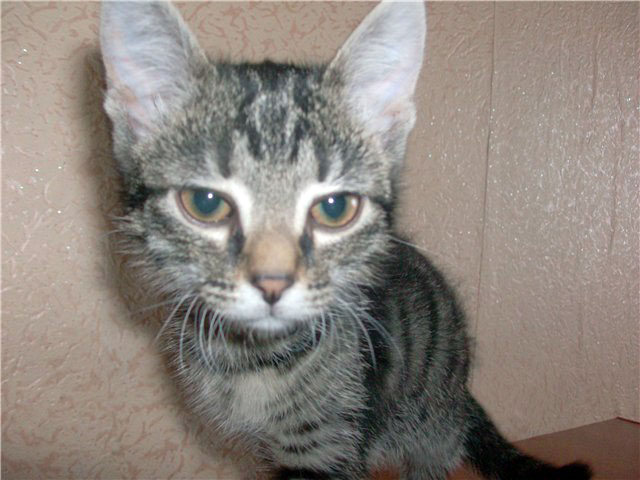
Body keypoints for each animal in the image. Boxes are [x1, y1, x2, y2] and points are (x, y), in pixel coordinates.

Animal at [100, 2, 593, 479]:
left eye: (335, 209)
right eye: (205, 203)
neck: (254, 361)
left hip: (434, 420)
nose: (273, 283)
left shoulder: (328, 446)